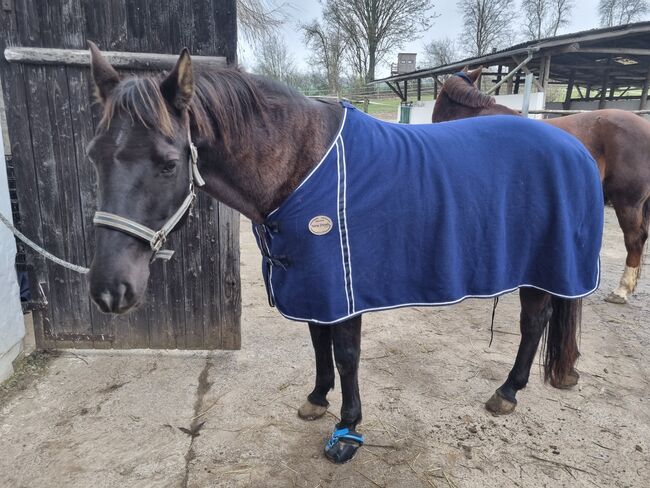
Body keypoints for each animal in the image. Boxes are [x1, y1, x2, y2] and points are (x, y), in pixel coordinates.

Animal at [85, 45, 596, 466]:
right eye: (94, 155)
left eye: (169, 163)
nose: (109, 290)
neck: (300, 164)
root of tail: (574, 145)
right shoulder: (313, 283)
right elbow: (319, 343)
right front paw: (317, 399)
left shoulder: (342, 288)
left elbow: (346, 354)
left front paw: (348, 431)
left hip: (544, 269)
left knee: (533, 322)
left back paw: (508, 390)